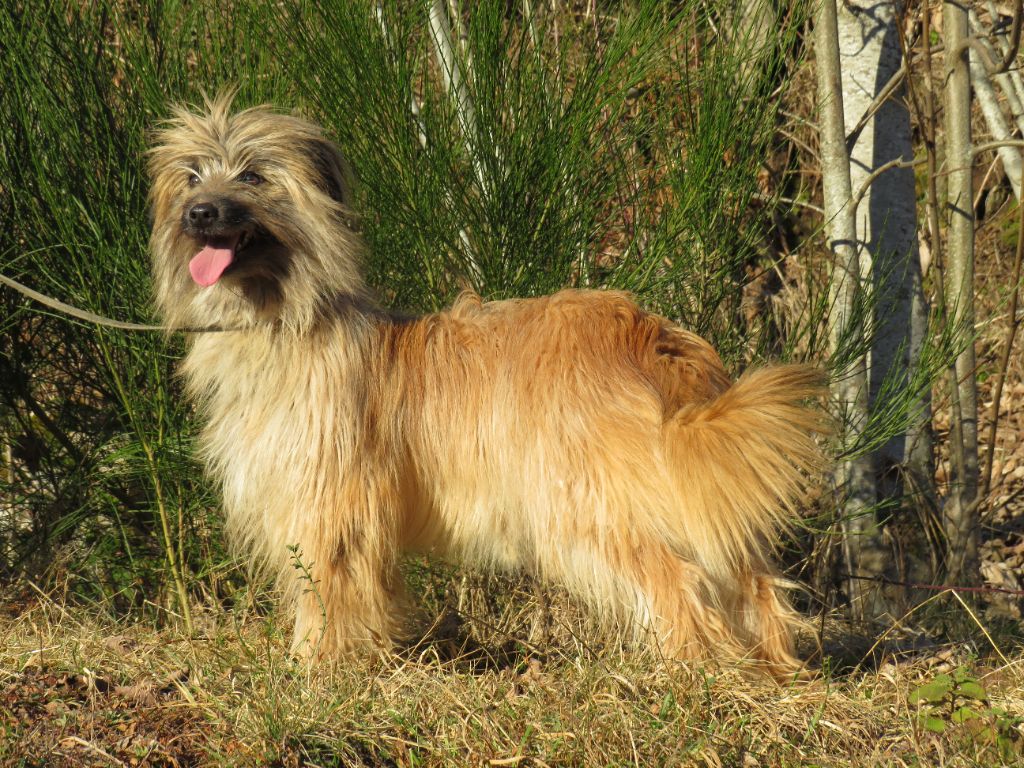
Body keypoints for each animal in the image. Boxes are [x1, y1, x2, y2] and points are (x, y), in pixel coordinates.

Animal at [148, 96, 827, 679]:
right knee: (747, 576)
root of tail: (645, 333)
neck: (282, 318)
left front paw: (315, 670)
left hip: (592, 502)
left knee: (678, 580)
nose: (199, 213)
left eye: (253, 174)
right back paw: (773, 668)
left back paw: (693, 676)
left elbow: (328, 594)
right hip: (682, 485)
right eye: (192, 175)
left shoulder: (329, 508)